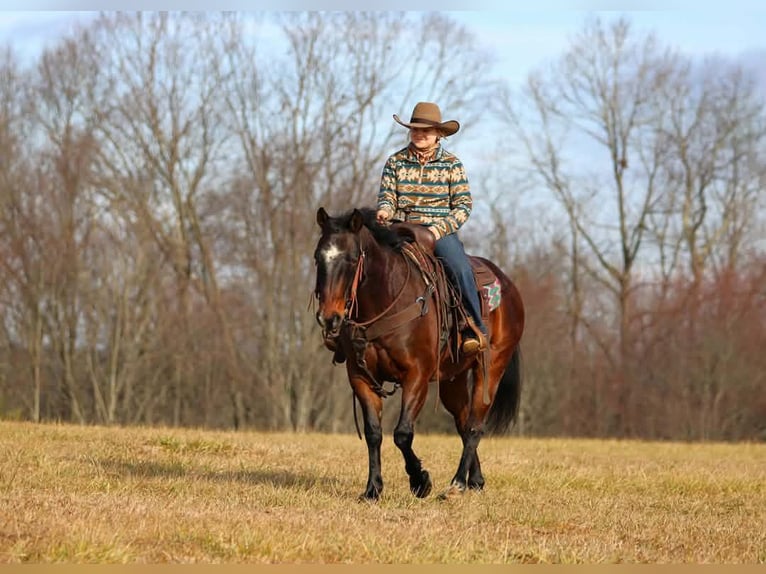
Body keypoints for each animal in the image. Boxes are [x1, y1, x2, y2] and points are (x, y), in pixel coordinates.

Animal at [312, 206, 525, 500]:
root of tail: (508, 285)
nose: (328, 318)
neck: (387, 299)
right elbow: (373, 433)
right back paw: (475, 480)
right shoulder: (360, 377)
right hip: (453, 379)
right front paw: (372, 489)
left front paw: (420, 481)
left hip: (491, 368)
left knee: (474, 425)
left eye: (353, 259)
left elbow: (402, 433)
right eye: (317, 257)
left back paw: (457, 484)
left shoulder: (417, 376)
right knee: (463, 421)